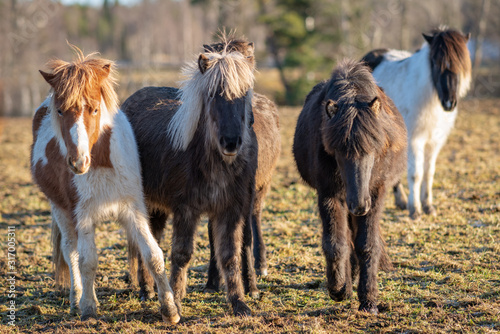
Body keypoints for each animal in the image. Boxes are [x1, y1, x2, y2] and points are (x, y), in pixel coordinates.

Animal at [31, 47, 180, 324]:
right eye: (61, 111)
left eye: (95, 109)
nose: (78, 162)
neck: (102, 162)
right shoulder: (83, 214)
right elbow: (87, 261)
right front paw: (89, 308)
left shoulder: (133, 209)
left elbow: (153, 255)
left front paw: (170, 310)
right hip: (60, 209)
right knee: (71, 252)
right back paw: (76, 300)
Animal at [122, 42, 258, 318]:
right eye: (213, 95)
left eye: (244, 95)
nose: (231, 142)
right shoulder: (186, 209)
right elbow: (182, 254)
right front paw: (175, 301)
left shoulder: (230, 210)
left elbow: (229, 255)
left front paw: (239, 303)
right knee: (143, 243)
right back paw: (146, 290)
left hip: (157, 207)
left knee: (153, 237)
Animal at [292, 59, 406, 314]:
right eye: (339, 152)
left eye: (373, 148)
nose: (359, 205)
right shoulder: (329, 195)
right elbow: (336, 243)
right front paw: (339, 289)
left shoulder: (376, 194)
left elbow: (366, 245)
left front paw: (369, 300)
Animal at [362, 26, 470, 219]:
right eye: (434, 62)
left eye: (461, 64)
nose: (449, 103)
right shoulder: (415, 140)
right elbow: (416, 174)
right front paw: (416, 210)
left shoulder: (434, 142)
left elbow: (429, 173)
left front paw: (428, 206)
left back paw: (401, 201)